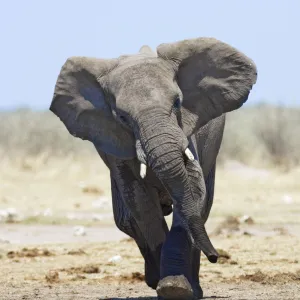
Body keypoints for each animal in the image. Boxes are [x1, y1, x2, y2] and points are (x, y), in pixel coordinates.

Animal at [49, 36, 255, 298]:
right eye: (122, 117)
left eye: (177, 103)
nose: (216, 257)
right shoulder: (116, 140)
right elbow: (141, 202)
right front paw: (168, 285)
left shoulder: (188, 132)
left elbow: (193, 190)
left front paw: (176, 288)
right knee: (126, 219)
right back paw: (155, 277)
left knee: (202, 208)